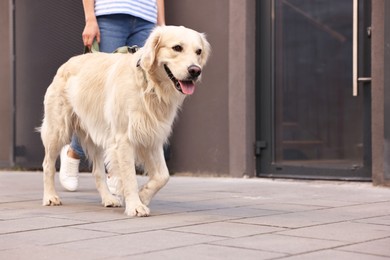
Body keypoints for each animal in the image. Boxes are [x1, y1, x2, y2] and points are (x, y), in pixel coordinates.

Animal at [38, 25, 210, 216]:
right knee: (48, 164)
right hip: (57, 130)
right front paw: (135, 205)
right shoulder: (124, 138)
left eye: (198, 51)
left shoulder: (151, 136)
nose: (195, 71)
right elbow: (129, 176)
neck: (149, 86)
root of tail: (67, 63)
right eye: (177, 48)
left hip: (97, 135)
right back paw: (50, 197)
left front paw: (143, 196)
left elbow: (163, 176)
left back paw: (108, 199)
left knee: (98, 172)